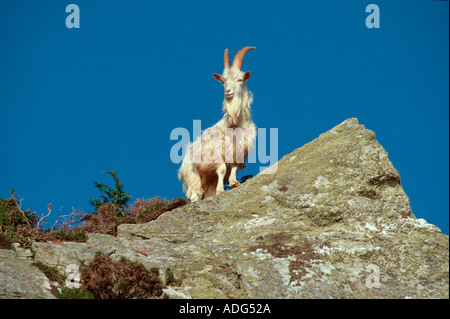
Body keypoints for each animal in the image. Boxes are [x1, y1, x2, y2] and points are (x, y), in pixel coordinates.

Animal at [178, 47, 256, 202]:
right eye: (223, 81)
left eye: (240, 79)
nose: (228, 91)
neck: (235, 125)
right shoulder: (217, 153)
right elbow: (222, 169)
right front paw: (221, 190)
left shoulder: (237, 150)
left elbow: (233, 167)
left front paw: (233, 183)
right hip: (192, 177)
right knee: (195, 193)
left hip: (208, 182)